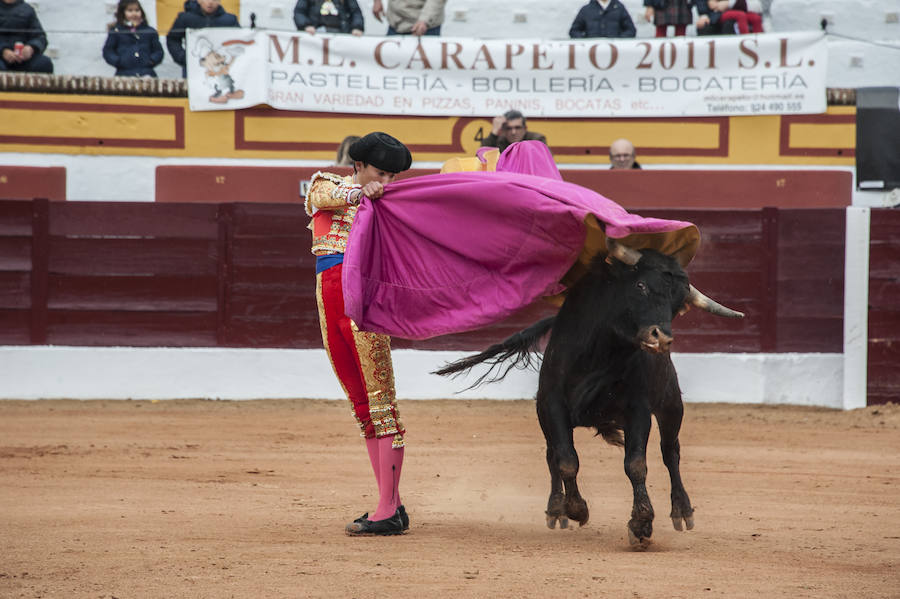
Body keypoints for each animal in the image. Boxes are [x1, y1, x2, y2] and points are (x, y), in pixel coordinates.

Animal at [432, 240, 740, 548]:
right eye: (640, 285)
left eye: (677, 304)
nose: (661, 338)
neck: (600, 354)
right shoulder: (552, 405)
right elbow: (567, 460)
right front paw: (576, 508)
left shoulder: (638, 410)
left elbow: (636, 464)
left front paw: (641, 524)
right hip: (545, 415)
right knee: (552, 454)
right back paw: (556, 510)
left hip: (671, 406)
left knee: (670, 452)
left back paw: (682, 511)